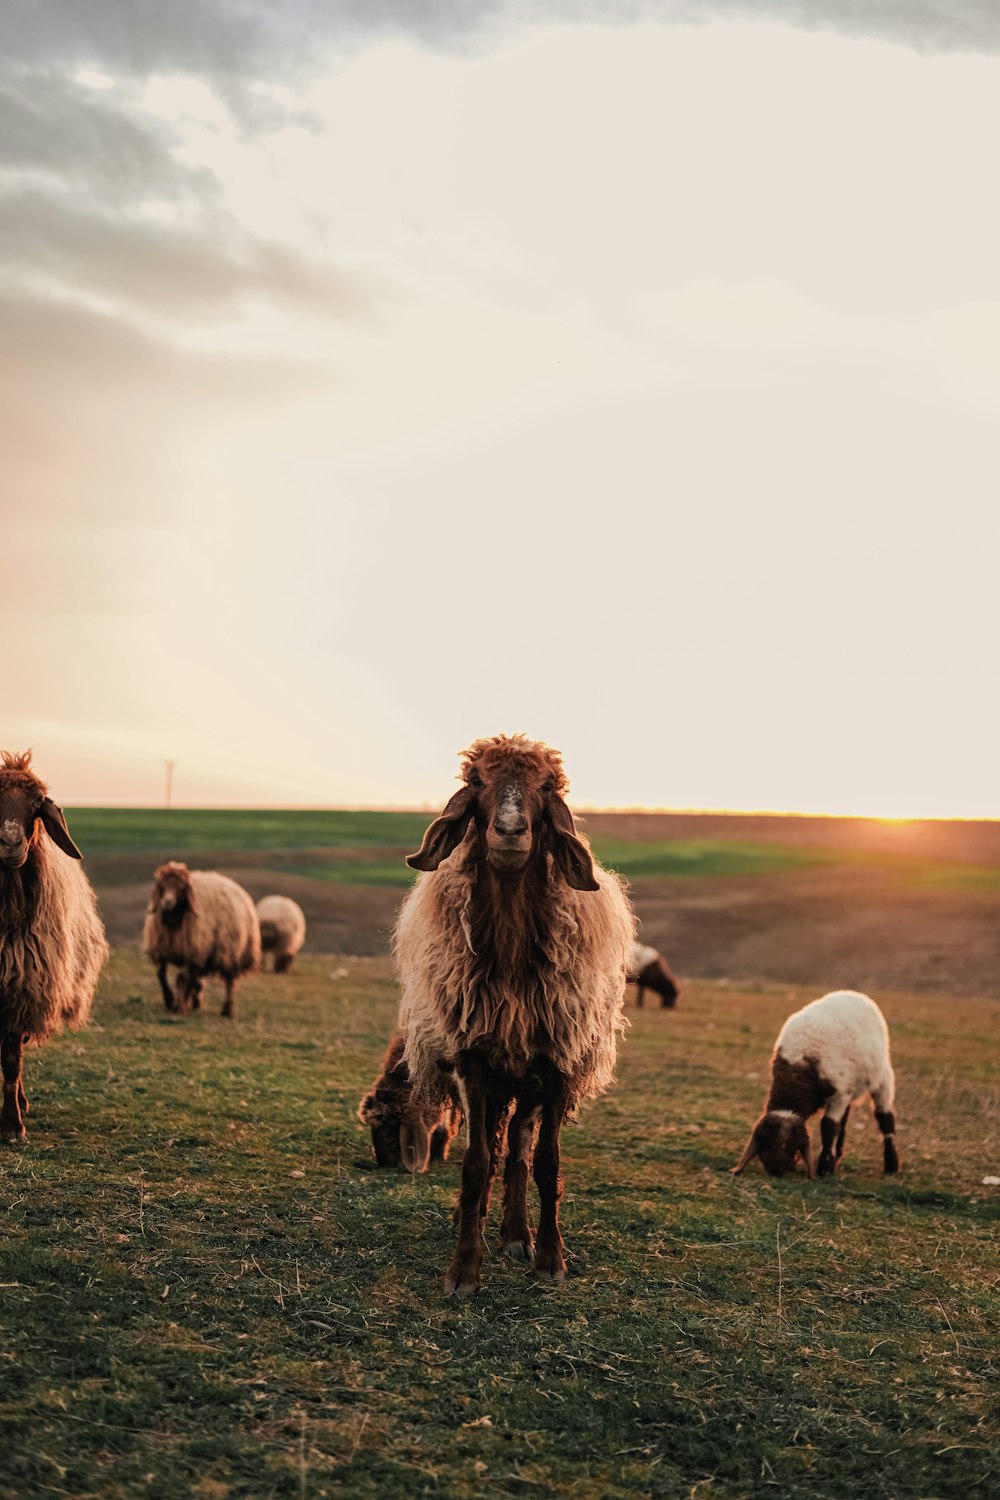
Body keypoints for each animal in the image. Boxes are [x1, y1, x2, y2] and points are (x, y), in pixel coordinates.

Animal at [145, 870, 263, 1020]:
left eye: (181, 888)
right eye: (162, 886)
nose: (167, 902)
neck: (175, 920)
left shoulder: (192, 952)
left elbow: (181, 979)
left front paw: (179, 1007)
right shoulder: (164, 950)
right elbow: (161, 975)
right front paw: (170, 1001)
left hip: (232, 953)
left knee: (230, 983)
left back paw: (227, 1010)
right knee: (196, 980)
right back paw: (193, 1002)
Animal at [395, 732, 638, 1296]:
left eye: (547, 786)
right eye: (475, 780)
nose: (509, 832)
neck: (508, 955)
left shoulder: (558, 1062)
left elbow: (545, 1163)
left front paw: (550, 1257)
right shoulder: (472, 1061)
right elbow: (475, 1162)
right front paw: (464, 1268)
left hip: (528, 1083)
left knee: (521, 1151)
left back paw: (515, 1234)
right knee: (495, 1149)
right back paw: (480, 1222)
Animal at [731, 984, 905, 1182]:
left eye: (786, 1145)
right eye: (764, 1143)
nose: (775, 1171)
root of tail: (852, 993)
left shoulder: (839, 1093)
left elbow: (828, 1126)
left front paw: (824, 1167)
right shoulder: (842, 1093)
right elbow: (835, 1125)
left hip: (882, 1077)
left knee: (885, 1118)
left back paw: (891, 1165)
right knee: (845, 1119)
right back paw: (839, 1153)